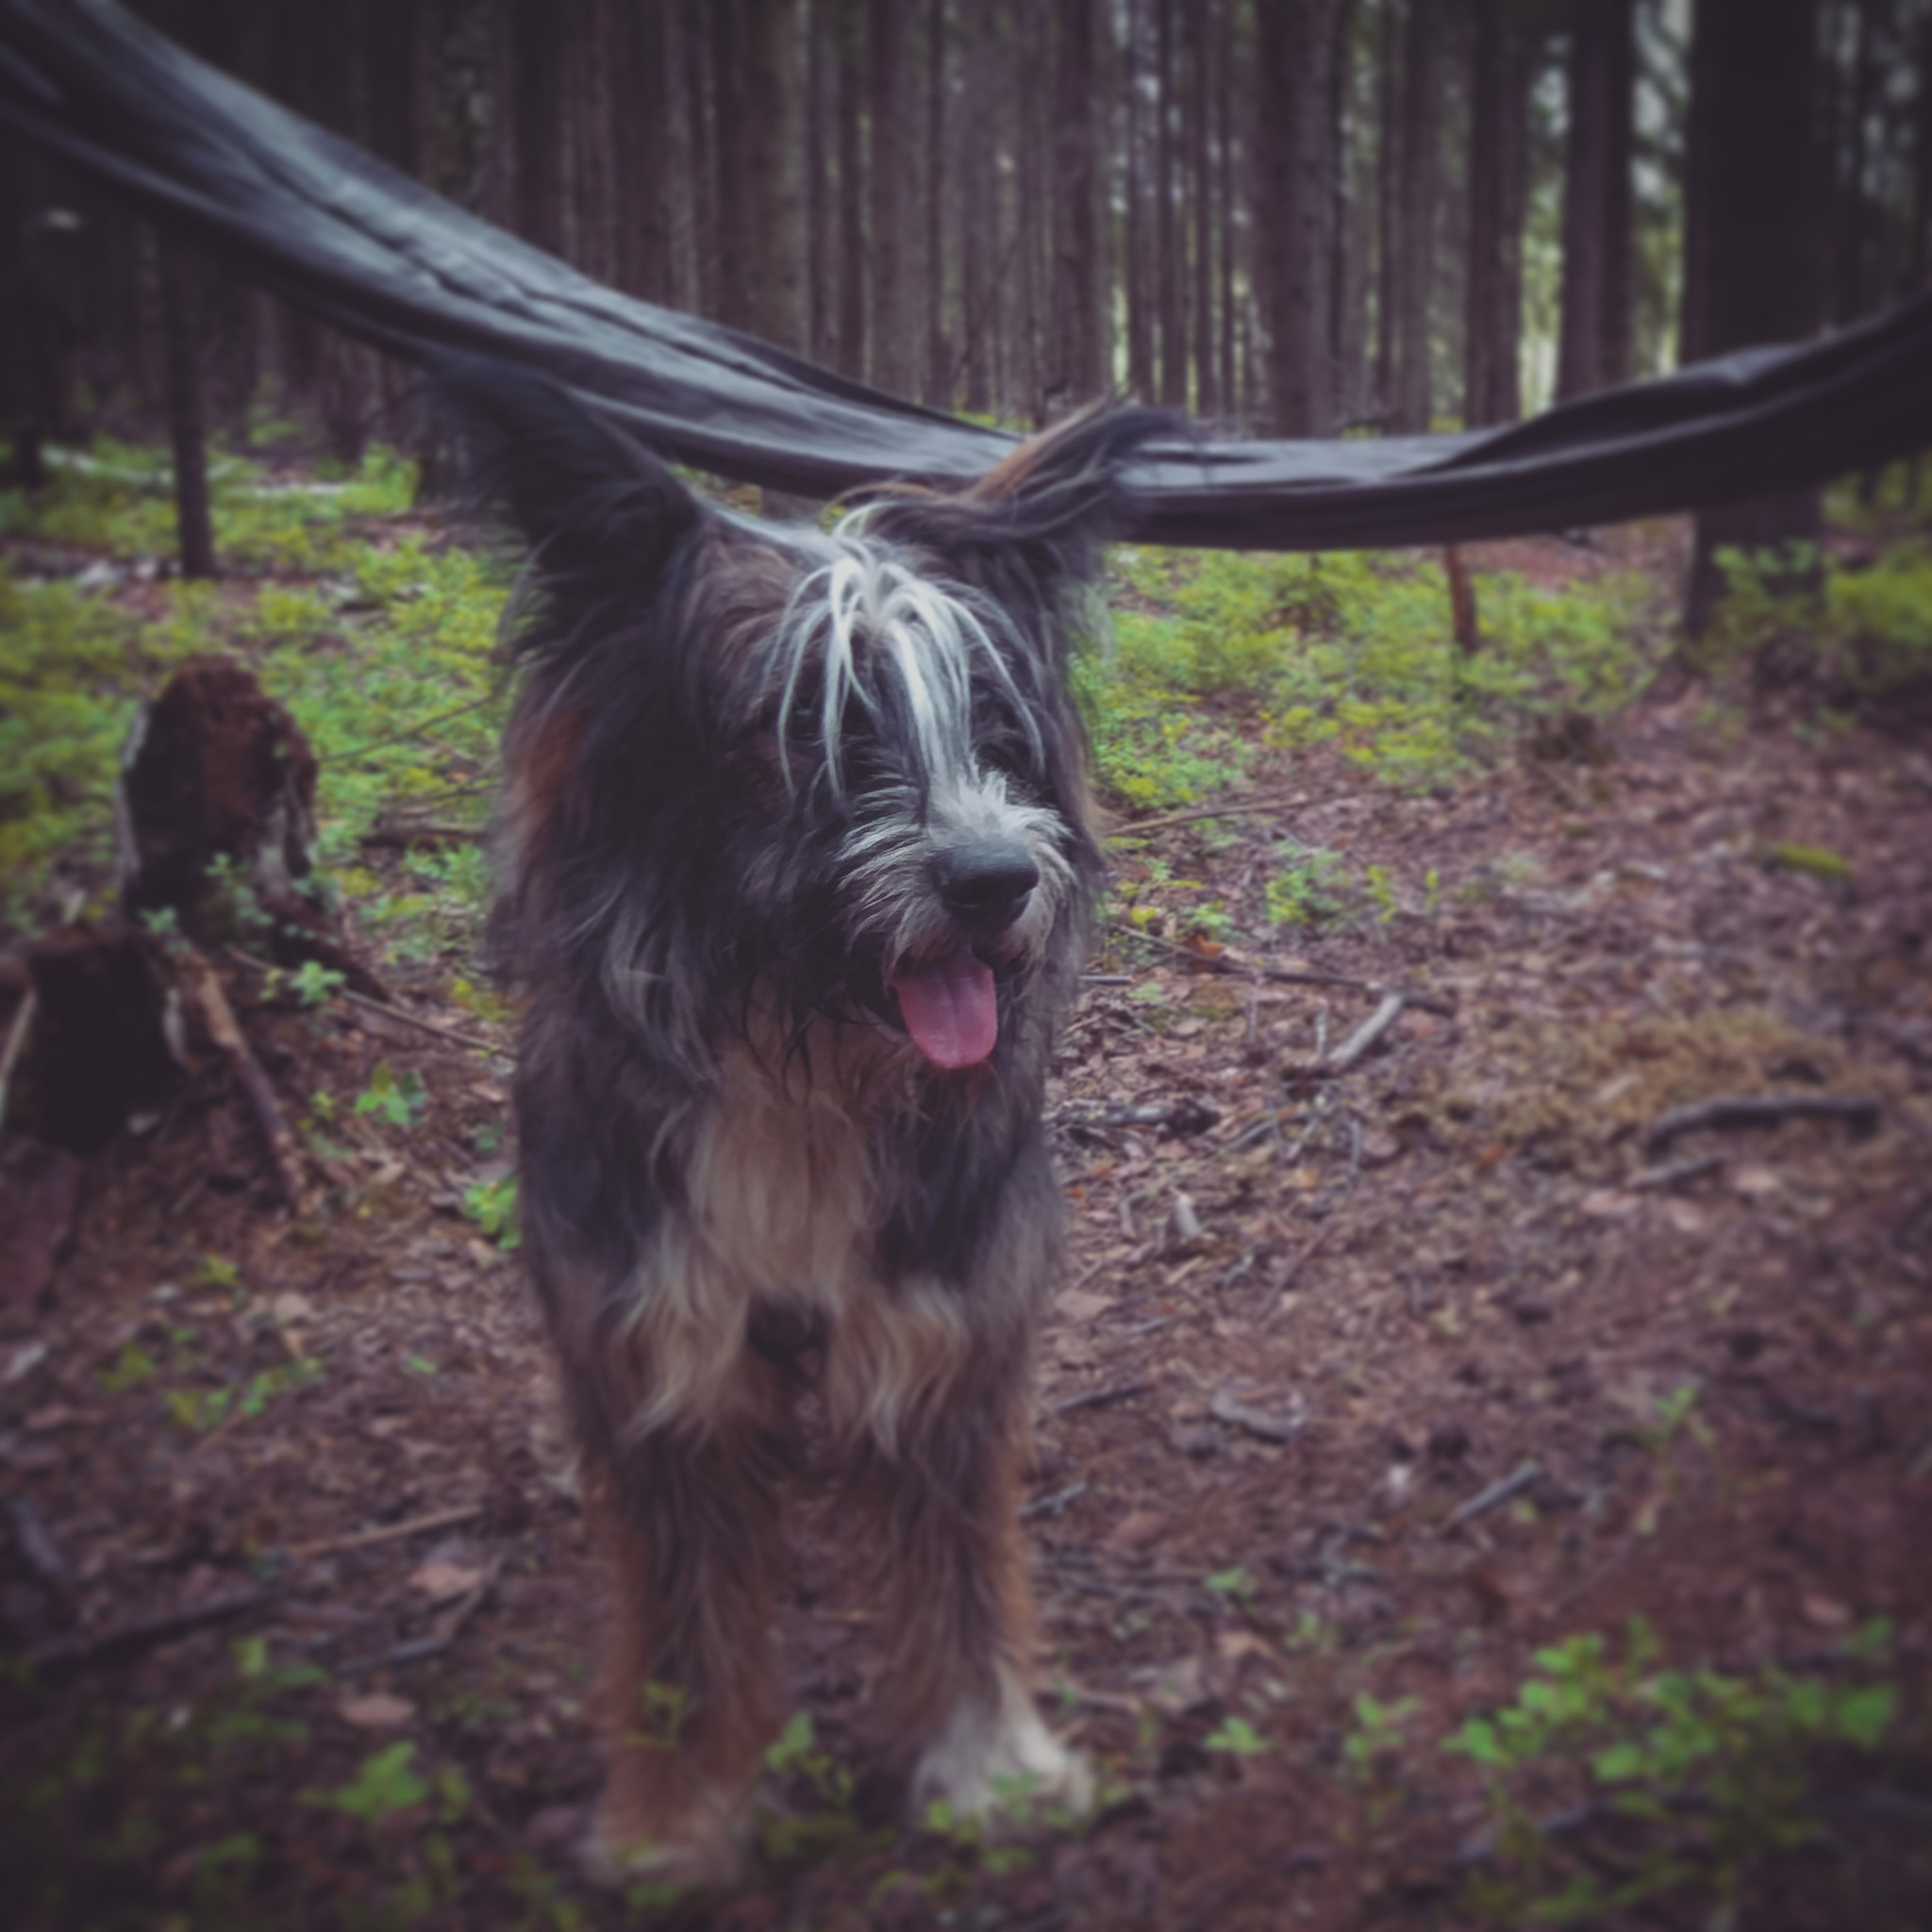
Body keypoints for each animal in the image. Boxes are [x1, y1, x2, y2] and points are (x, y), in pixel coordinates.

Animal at [441, 358, 1158, 1870]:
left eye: (994, 727)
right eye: (813, 731)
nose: (996, 880)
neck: (804, 1071)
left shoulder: (944, 1323)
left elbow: (959, 1570)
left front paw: (989, 1762)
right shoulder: (658, 1344)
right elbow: (684, 1621)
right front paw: (677, 1817)